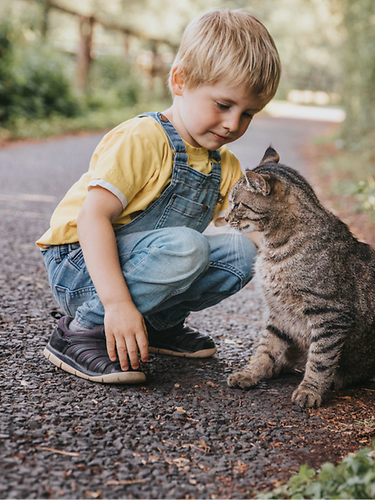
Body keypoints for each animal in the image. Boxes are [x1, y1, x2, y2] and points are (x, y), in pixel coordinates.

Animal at [226, 146, 375, 408]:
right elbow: (264, 348)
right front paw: (251, 373)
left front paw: (310, 390)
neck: (273, 246)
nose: (225, 218)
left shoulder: (330, 314)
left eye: (237, 205)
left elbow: (320, 359)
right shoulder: (278, 312)